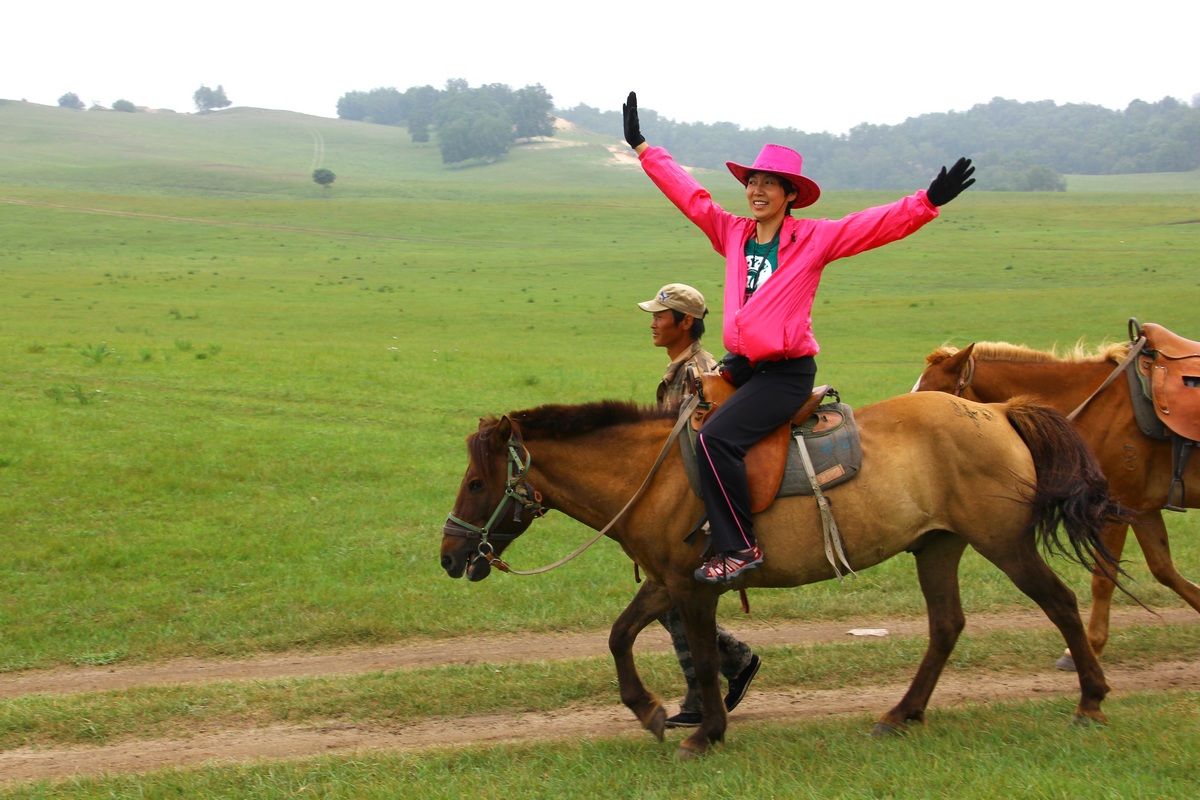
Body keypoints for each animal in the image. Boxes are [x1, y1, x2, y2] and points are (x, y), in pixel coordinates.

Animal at [441, 393, 1123, 758]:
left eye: (475, 482)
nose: (448, 556)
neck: (654, 476)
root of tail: (997, 411)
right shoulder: (666, 582)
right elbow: (620, 635)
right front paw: (650, 711)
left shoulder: (694, 587)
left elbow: (703, 661)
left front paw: (707, 732)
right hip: (937, 547)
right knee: (946, 626)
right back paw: (901, 713)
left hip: (1003, 544)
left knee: (1060, 604)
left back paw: (1090, 699)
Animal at [912, 340, 1195, 671]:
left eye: (929, 392)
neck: (1099, 403)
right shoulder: (1143, 508)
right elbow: (1164, 569)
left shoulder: (1113, 509)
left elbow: (1103, 579)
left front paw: (1086, 648)